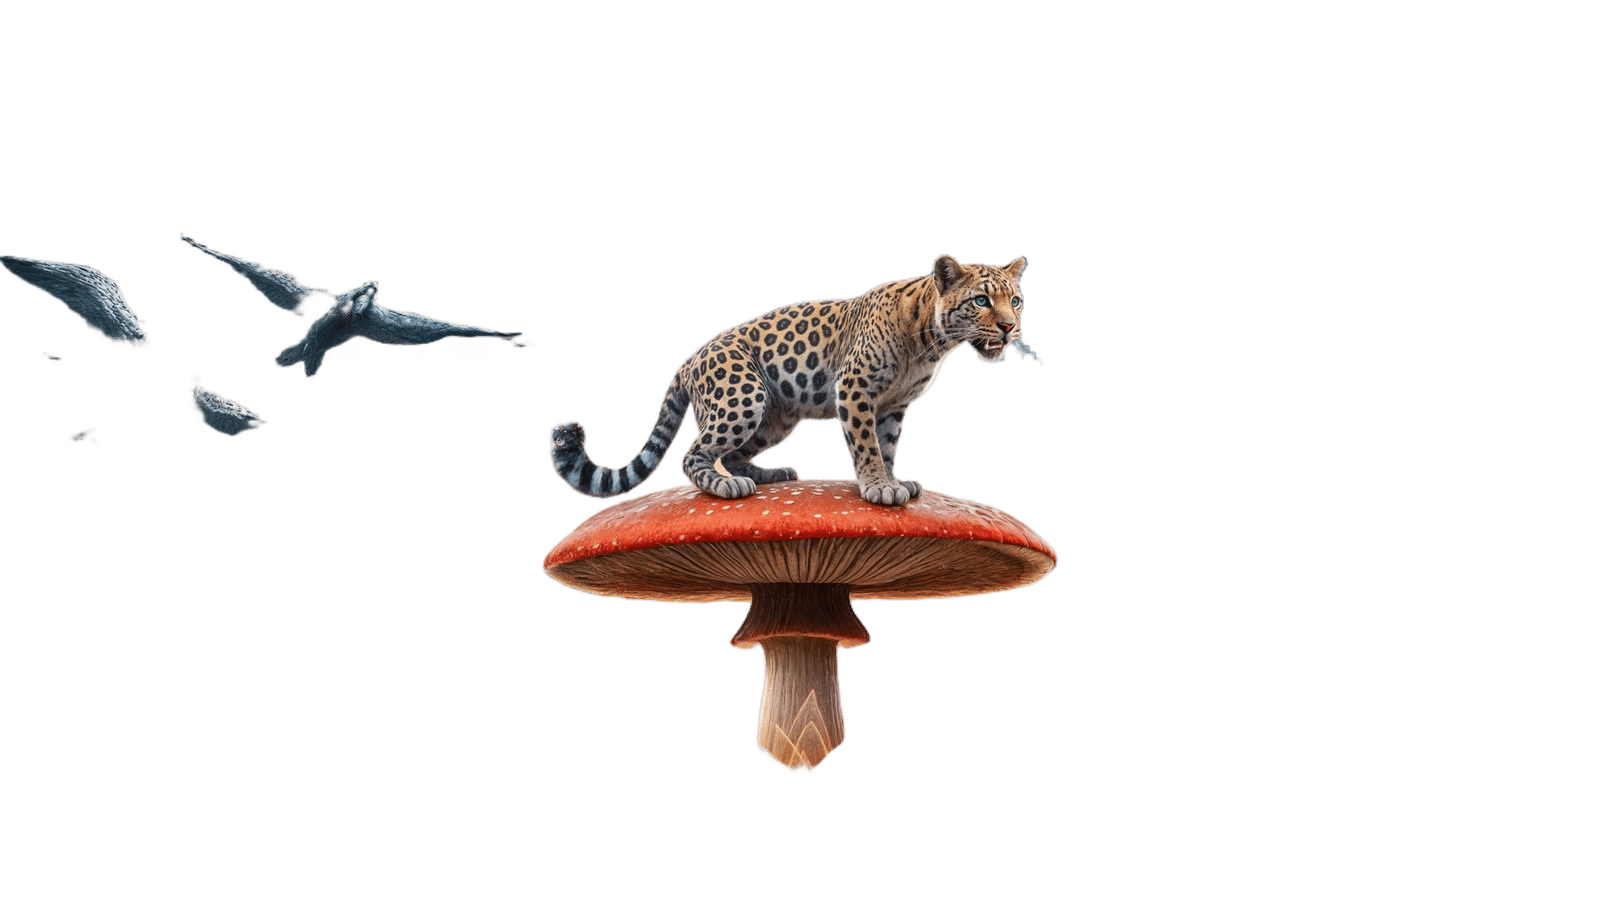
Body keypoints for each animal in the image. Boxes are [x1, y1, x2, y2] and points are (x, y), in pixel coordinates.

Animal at [550, 253, 1029, 507]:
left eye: (1016, 300)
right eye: (981, 300)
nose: (1010, 328)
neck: (929, 340)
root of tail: (688, 361)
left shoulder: (893, 406)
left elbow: (888, 445)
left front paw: (894, 482)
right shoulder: (853, 388)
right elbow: (866, 444)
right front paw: (877, 486)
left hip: (775, 419)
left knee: (734, 453)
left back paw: (770, 473)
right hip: (742, 395)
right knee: (694, 454)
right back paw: (725, 486)